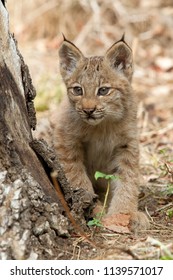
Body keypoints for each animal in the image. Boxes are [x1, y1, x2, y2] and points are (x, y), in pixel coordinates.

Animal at [54, 35, 149, 232]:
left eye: (103, 90)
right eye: (78, 90)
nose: (88, 110)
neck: (102, 126)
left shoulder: (127, 144)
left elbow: (128, 179)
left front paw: (123, 214)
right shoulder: (65, 140)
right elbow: (77, 177)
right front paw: (94, 209)